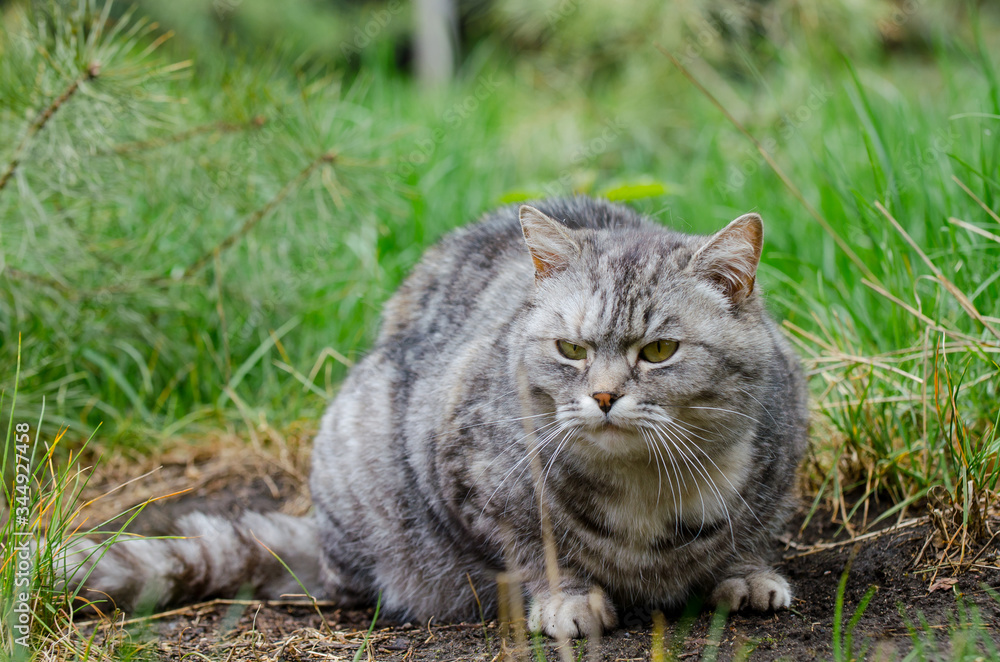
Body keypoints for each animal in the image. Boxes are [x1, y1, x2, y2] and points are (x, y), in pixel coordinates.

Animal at [66, 196, 808, 640]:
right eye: (570, 350)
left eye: (658, 351)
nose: (601, 397)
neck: (646, 485)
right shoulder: (476, 478)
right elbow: (537, 545)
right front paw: (568, 598)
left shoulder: (784, 446)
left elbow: (748, 530)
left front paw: (744, 574)